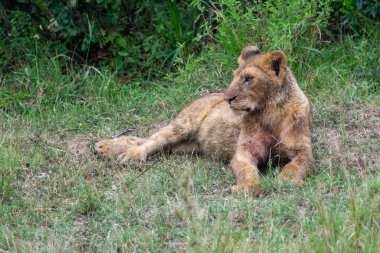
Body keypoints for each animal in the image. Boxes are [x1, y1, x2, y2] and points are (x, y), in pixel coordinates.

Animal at [95, 46, 314, 194]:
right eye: (235, 76)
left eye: (248, 79)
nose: (227, 98)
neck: (269, 112)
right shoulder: (244, 152)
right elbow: (247, 171)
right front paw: (246, 187)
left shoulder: (303, 152)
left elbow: (294, 166)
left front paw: (285, 181)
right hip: (183, 125)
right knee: (151, 141)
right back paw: (125, 153)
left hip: (184, 146)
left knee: (151, 142)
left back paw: (106, 148)